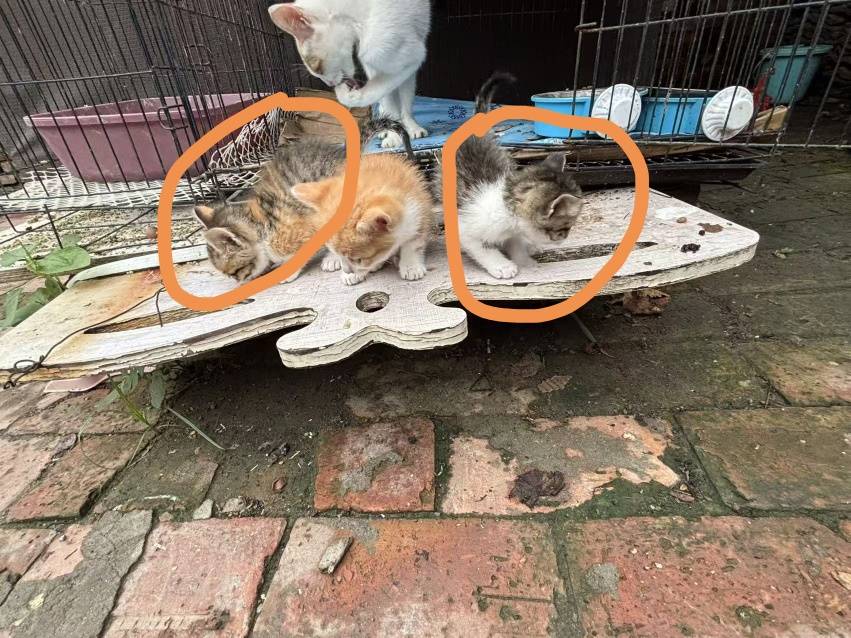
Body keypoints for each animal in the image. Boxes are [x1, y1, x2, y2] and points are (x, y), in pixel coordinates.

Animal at [268, 0, 431, 149]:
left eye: (317, 67)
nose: (329, 84)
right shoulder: (377, 66)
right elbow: (388, 101)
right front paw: (393, 133)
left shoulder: (411, 57)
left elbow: (394, 97)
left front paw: (408, 127)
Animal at [291, 127, 433, 286]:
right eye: (354, 259)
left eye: (358, 259)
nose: (347, 271)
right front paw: (353, 272)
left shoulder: (419, 212)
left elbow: (412, 244)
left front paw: (411, 266)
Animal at [435, 72, 585, 279]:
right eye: (564, 227)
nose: (565, 238)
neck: (506, 217)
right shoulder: (465, 228)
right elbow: (483, 248)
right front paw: (502, 266)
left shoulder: (515, 231)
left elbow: (516, 244)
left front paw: (524, 260)